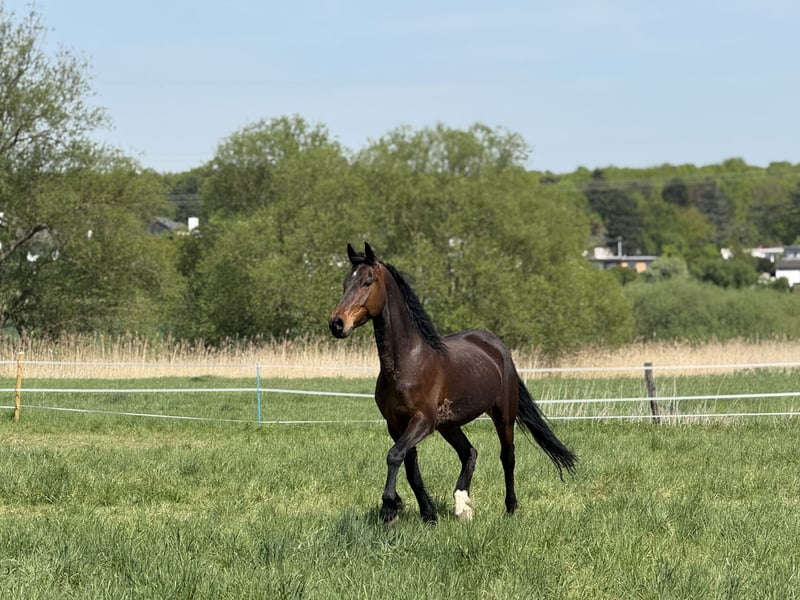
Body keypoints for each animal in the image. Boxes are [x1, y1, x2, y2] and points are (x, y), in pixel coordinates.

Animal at [328, 243, 577, 523]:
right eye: (345, 283)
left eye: (367, 281)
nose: (336, 323)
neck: (409, 362)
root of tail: (497, 347)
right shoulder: (396, 424)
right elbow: (410, 467)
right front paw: (428, 515)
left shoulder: (422, 421)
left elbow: (394, 455)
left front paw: (390, 506)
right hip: (449, 424)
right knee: (469, 452)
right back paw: (462, 505)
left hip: (503, 415)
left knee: (507, 456)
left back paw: (510, 508)